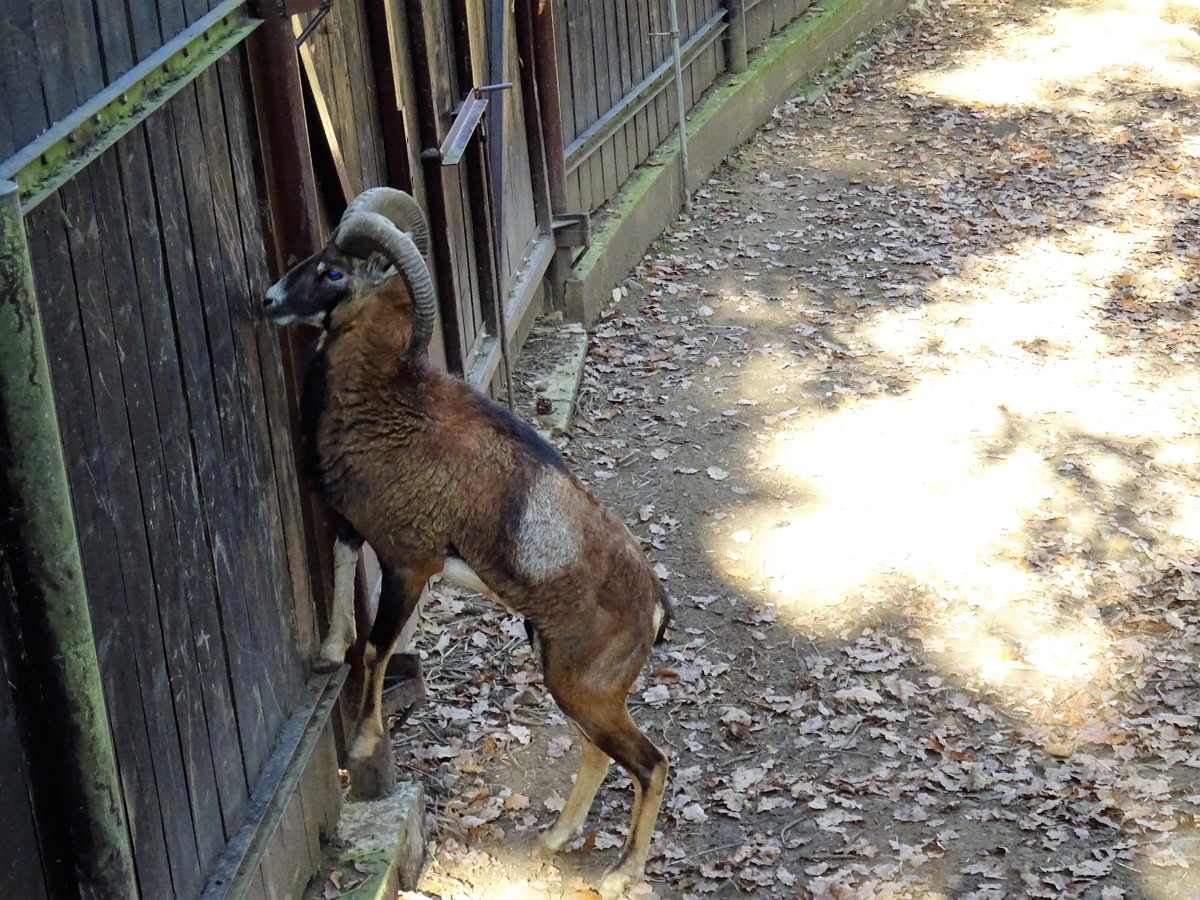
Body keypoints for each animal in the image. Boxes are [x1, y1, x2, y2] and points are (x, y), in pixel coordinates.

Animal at [263, 188, 672, 897]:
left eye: (334, 271)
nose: (267, 299)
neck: (392, 404)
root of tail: (653, 607)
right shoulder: (354, 528)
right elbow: (342, 582)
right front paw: (325, 652)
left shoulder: (408, 565)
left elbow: (376, 650)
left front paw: (363, 746)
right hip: (569, 681)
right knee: (598, 753)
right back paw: (554, 840)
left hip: (585, 690)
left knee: (651, 764)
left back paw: (621, 873)